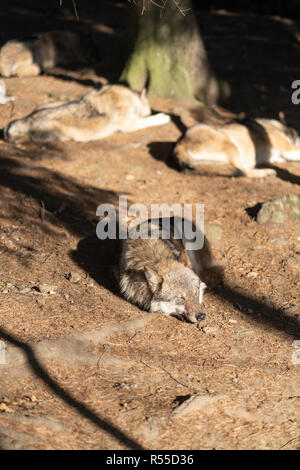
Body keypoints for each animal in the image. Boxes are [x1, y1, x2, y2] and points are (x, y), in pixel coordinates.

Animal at [4, 83, 171, 143]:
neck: (130, 98)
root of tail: (28, 119)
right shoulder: (130, 125)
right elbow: (150, 120)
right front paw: (163, 117)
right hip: (58, 134)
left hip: (46, 105)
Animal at [172, 116, 300, 177]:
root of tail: (180, 143)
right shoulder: (287, 148)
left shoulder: (283, 156)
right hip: (230, 144)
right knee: (244, 172)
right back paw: (267, 172)